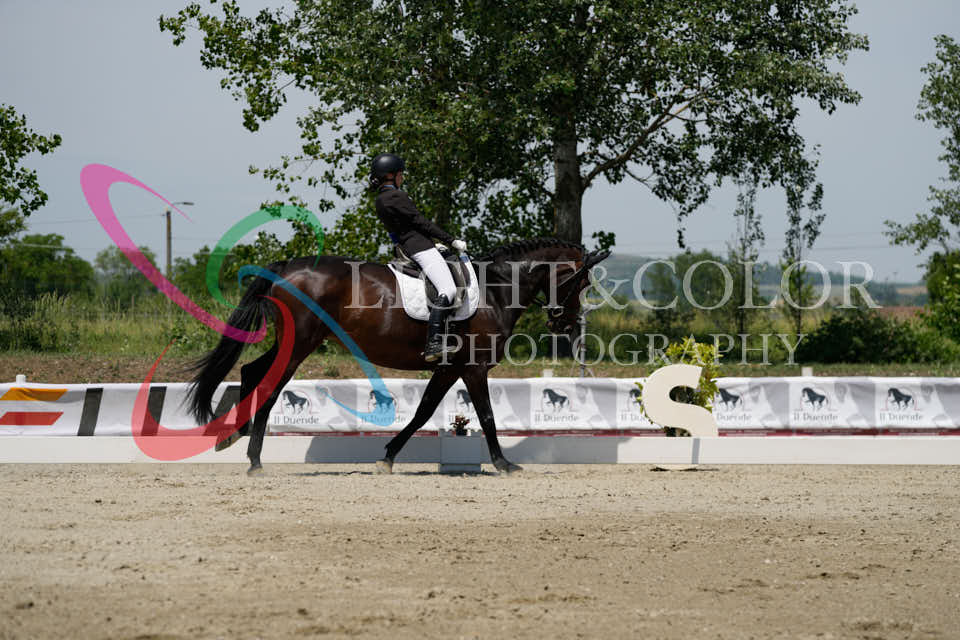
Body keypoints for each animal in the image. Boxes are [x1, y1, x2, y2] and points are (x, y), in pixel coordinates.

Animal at [186, 238, 609, 475]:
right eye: (580, 282)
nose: (563, 323)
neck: (496, 289)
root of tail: (286, 267)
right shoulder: (473, 367)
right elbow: (487, 415)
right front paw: (504, 463)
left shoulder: (449, 368)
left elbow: (423, 411)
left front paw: (387, 456)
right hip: (300, 344)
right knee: (271, 385)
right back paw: (254, 459)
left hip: (294, 342)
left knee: (250, 369)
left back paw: (232, 437)